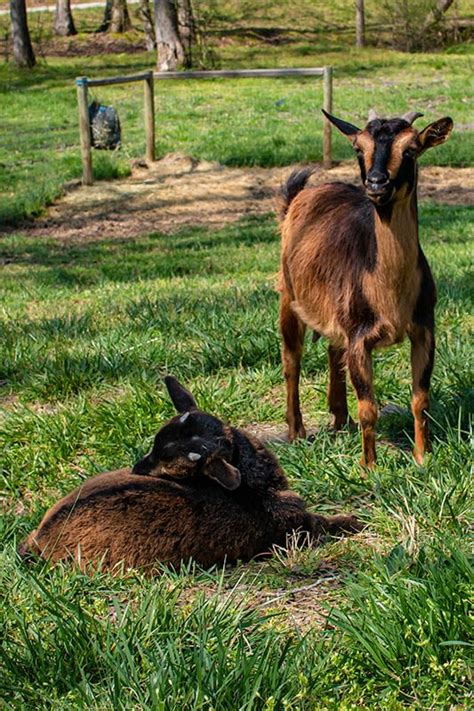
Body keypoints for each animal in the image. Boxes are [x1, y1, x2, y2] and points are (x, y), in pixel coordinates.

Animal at [17, 378, 360, 572]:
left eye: (170, 462)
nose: (137, 468)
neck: (260, 490)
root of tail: (41, 538)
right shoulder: (295, 530)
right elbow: (325, 524)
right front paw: (353, 521)